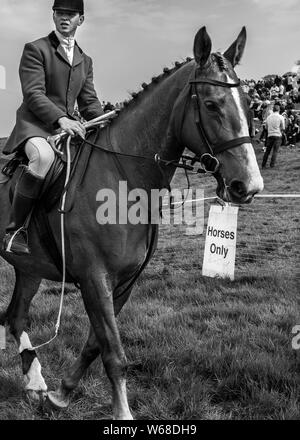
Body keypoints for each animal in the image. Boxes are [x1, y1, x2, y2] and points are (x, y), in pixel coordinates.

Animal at [0, 26, 262, 420]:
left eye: (248, 105)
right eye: (211, 105)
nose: (248, 185)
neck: (123, 176)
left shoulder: (123, 282)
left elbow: (96, 345)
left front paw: (61, 394)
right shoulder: (95, 278)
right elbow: (114, 353)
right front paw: (122, 413)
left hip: (29, 266)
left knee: (15, 317)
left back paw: (35, 383)